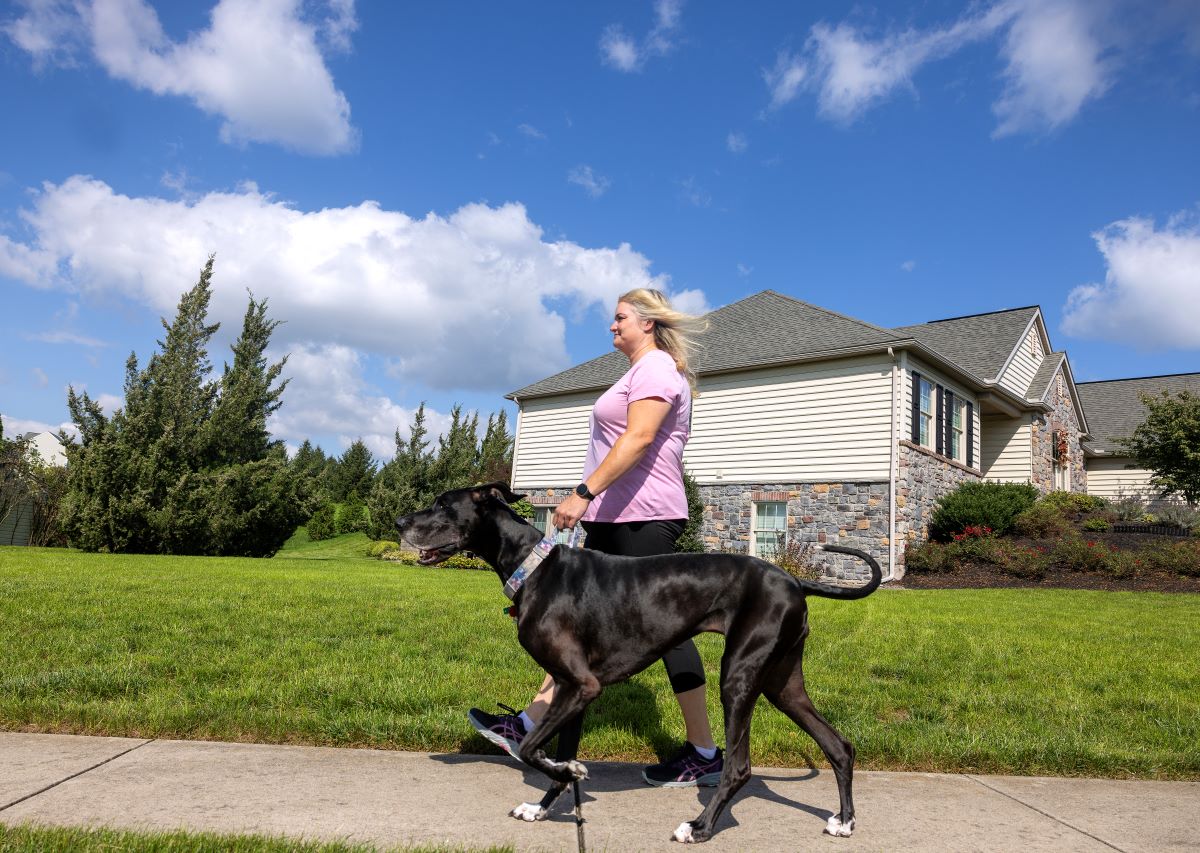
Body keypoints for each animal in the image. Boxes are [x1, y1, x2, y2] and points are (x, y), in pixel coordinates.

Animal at [398, 484, 878, 844]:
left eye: (443, 504)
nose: (400, 522)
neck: (532, 569)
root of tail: (795, 579)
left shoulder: (583, 685)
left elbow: (531, 748)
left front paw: (566, 771)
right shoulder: (571, 689)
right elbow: (552, 753)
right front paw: (542, 805)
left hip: (739, 677)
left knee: (739, 766)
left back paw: (700, 828)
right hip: (783, 682)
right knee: (839, 746)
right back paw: (845, 820)